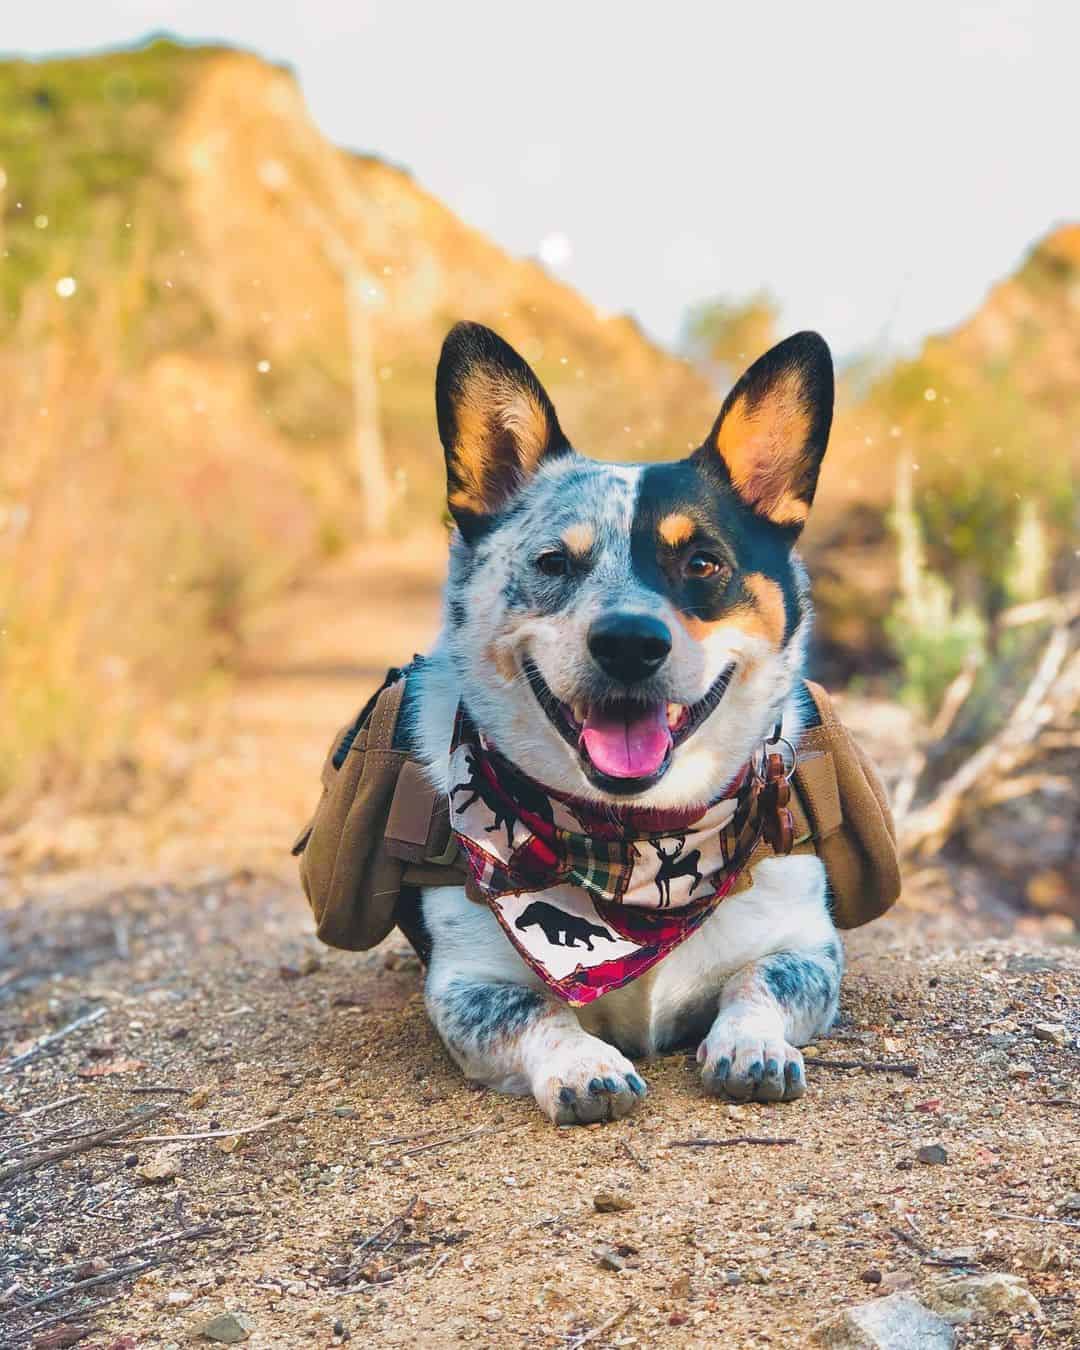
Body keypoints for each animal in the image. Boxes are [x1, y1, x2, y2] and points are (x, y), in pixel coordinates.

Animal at [405, 321, 842, 1123]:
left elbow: (761, 980)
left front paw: (751, 1043)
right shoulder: (467, 984)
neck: (630, 840)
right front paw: (584, 1063)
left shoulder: (808, 950)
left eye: (703, 563)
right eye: (552, 562)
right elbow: (536, 1011)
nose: (630, 642)